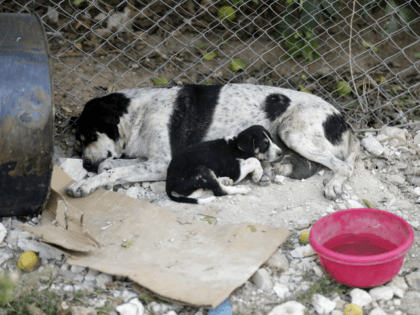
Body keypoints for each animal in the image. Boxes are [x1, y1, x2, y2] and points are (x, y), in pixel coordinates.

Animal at [65, 84, 358, 200]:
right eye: (78, 141)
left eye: (88, 136)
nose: (85, 164)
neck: (138, 114)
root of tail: (342, 120)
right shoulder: (147, 158)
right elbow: (110, 167)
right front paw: (98, 175)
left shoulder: (161, 163)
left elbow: (110, 172)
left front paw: (84, 184)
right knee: (306, 165)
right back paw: (273, 170)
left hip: (292, 132)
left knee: (342, 166)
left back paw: (333, 185)